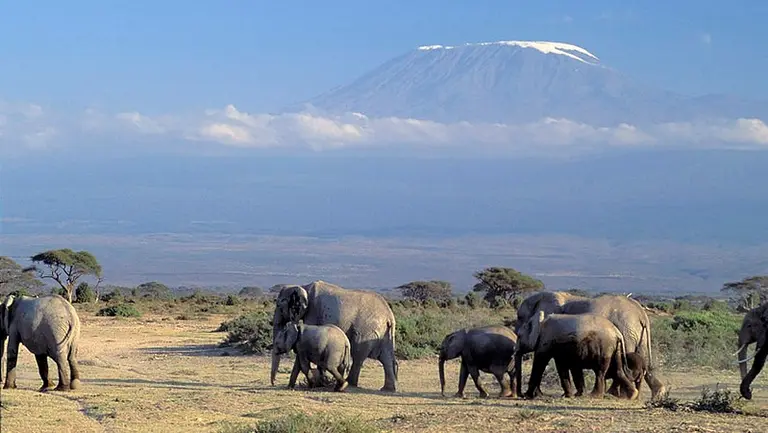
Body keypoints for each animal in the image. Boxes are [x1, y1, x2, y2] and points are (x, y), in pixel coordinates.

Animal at [270, 280, 398, 392]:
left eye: (279, 306)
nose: (274, 383)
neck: (303, 287)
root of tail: (389, 316)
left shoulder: (313, 312)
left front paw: (314, 384)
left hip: (366, 330)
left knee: (358, 354)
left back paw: (349, 384)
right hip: (384, 333)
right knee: (386, 357)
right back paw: (387, 389)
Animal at [514, 291, 665, 399]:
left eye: (520, 317)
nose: (520, 395)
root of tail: (641, 313)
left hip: (626, 331)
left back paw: (614, 394)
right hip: (638, 334)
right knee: (641, 360)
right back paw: (656, 394)